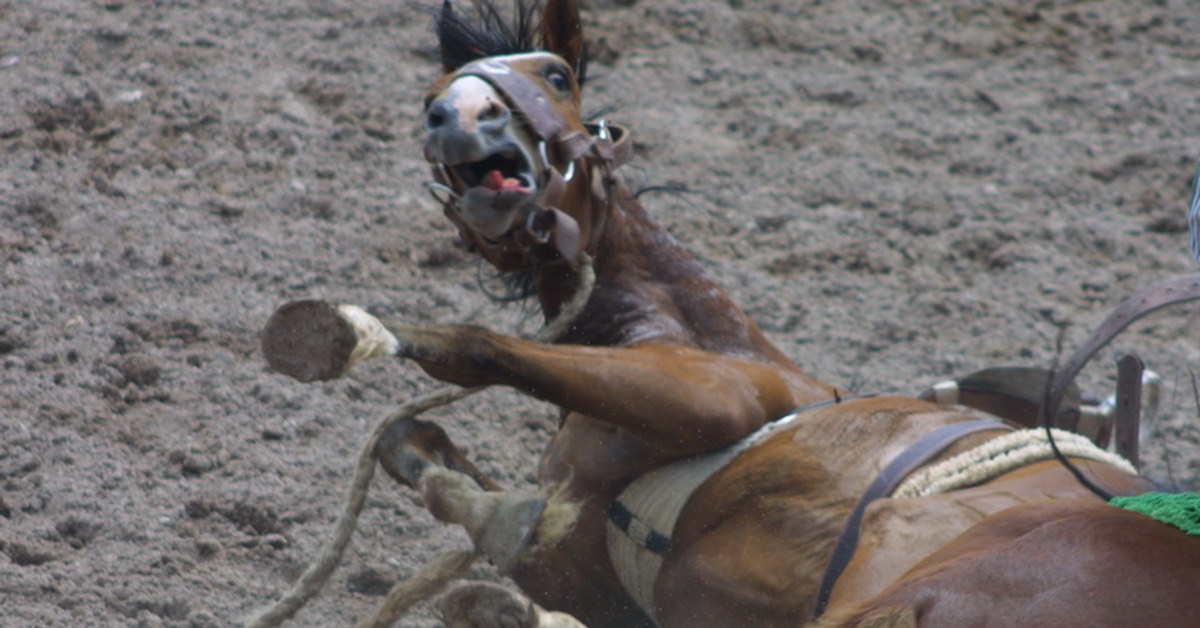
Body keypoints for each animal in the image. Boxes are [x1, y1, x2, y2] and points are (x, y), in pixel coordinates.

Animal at [258, 0, 1195, 624]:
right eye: (431, 93)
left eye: (554, 75)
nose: (455, 116)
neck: (694, 325)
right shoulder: (589, 572)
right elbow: (418, 451)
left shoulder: (714, 394)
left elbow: (478, 354)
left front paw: (346, 332)